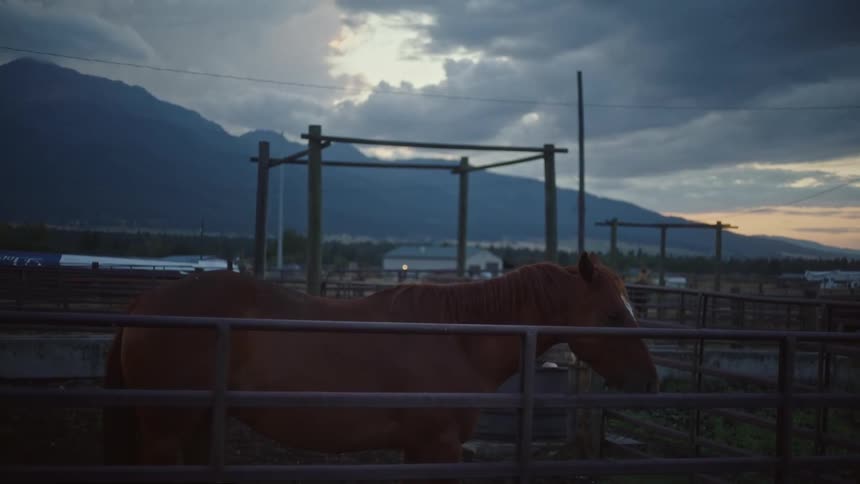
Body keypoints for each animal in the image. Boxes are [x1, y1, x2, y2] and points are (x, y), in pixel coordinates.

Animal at [102, 253, 658, 483]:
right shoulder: (438, 447)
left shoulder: (417, 447)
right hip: (166, 432)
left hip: (195, 426)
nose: (649, 383)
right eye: (613, 315)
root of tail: (146, 301)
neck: (457, 338)